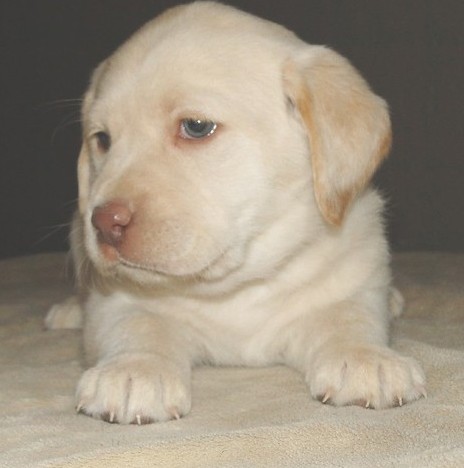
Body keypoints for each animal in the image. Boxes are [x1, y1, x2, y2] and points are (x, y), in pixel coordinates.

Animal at [45, 0, 426, 424]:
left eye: (196, 127)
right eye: (103, 140)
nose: (103, 222)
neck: (238, 284)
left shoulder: (352, 279)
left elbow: (349, 317)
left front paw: (366, 358)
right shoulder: (115, 303)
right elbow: (138, 324)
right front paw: (133, 369)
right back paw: (68, 312)